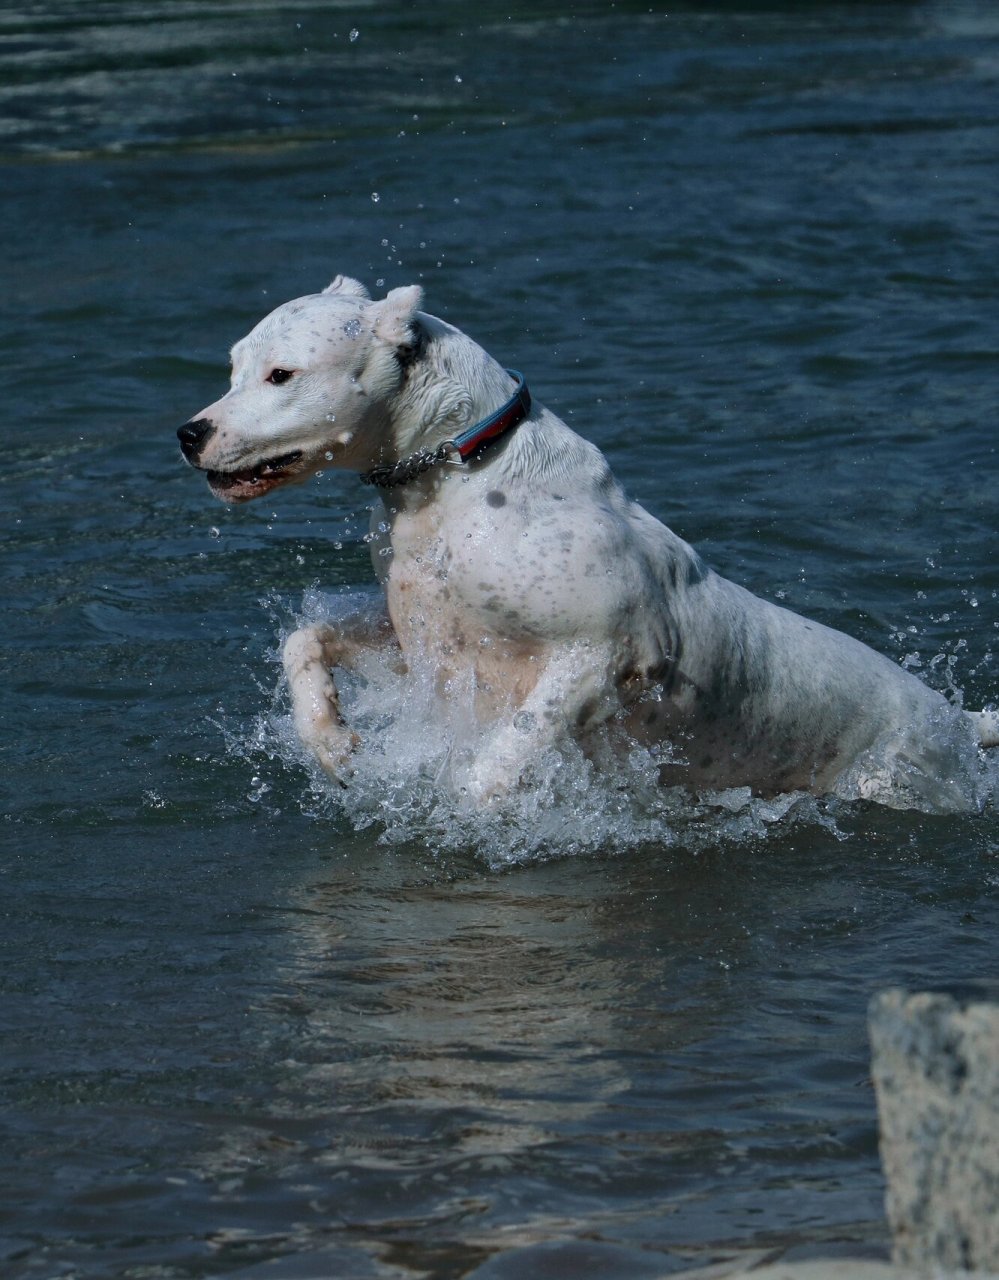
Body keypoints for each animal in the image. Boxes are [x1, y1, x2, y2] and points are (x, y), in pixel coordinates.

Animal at [179, 277, 999, 808]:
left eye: (282, 374)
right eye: (234, 366)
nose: (189, 433)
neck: (462, 476)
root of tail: (954, 720)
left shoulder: (603, 652)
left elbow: (510, 746)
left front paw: (471, 806)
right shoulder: (418, 638)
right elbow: (305, 639)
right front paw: (331, 740)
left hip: (904, 777)